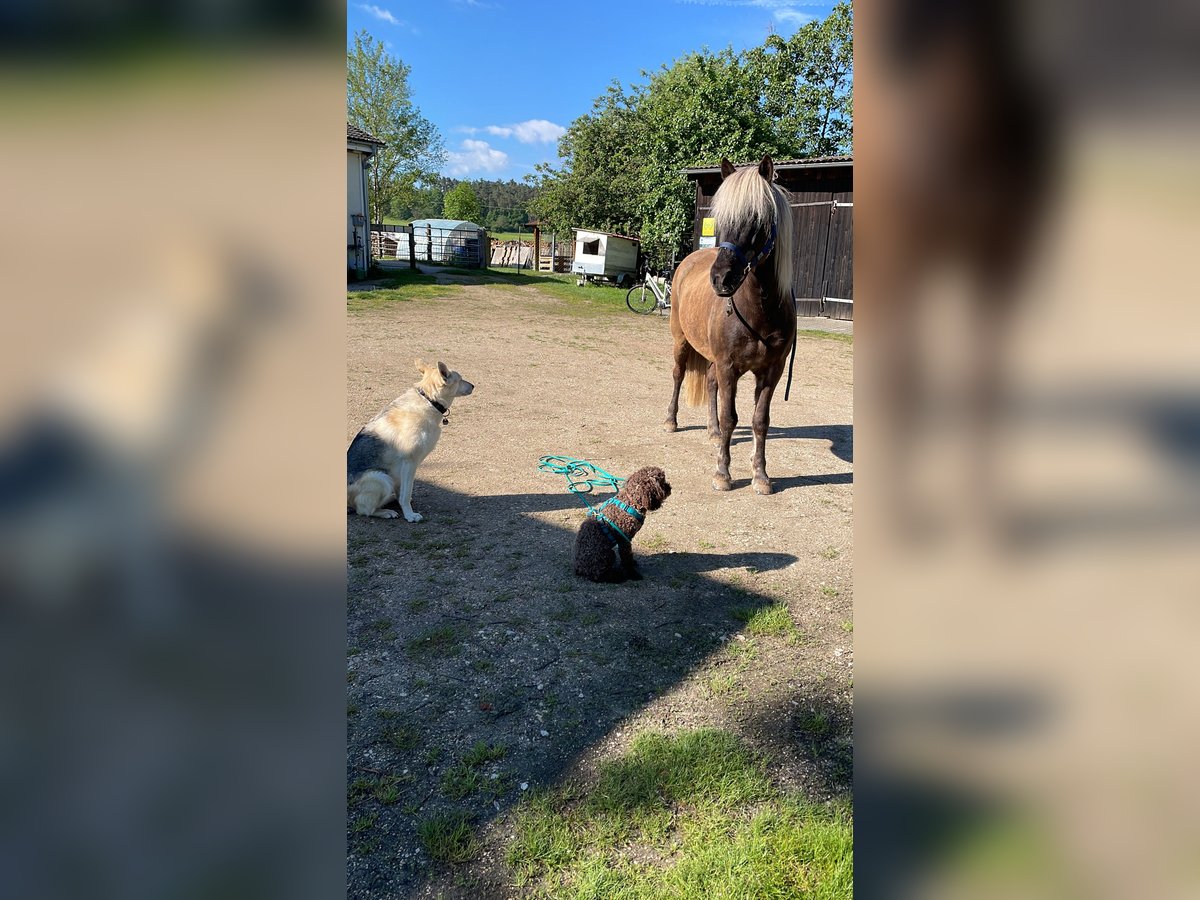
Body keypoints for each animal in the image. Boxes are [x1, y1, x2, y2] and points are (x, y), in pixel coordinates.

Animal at [348, 362, 472, 520]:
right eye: (460, 379)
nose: (473, 386)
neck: (429, 401)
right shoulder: (409, 463)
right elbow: (406, 494)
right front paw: (409, 514)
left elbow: (402, 492)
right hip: (381, 478)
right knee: (364, 510)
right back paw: (385, 512)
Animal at [667, 154, 796, 494]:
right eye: (722, 219)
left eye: (758, 219)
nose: (720, 279)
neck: (760, 311)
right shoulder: (729, 367)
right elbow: (730, 417)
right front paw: (722, 473)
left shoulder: (771, 372)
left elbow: (759, 421)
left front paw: (761, 476)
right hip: (681, 341)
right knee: (678, 375)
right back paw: (671, 421)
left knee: (711, 384)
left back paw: (711, 431)